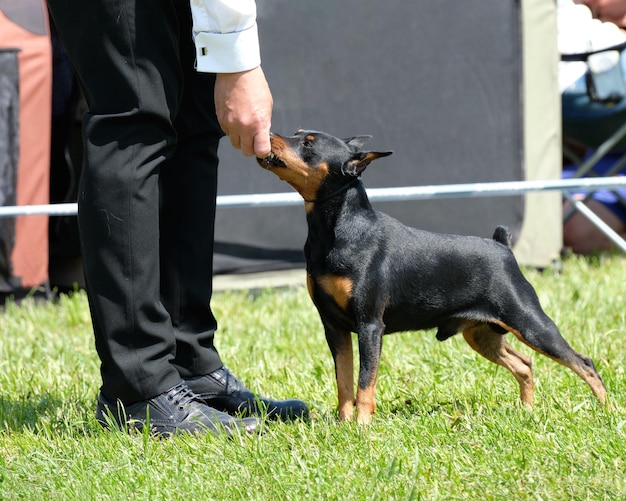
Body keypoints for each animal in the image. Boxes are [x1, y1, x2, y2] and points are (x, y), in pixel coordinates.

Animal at [256, 129, 604, 422]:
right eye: (298, 134)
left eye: (308, 144)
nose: (268, 134)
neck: (336, 230)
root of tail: (503, 247)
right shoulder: (334, 327)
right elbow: (344, 382)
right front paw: (344, 426)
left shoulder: (370, 325)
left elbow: (365, 383)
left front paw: (362, 428)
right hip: (481, 333)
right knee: (524, 364)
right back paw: (528, 411)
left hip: (529, 323)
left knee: (583, 363)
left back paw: (606, 410)